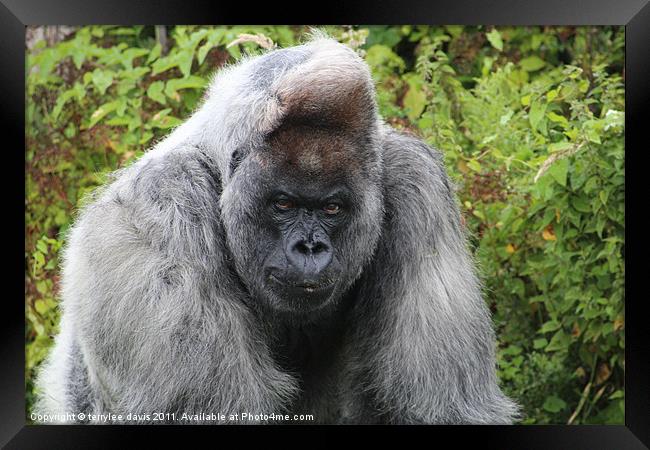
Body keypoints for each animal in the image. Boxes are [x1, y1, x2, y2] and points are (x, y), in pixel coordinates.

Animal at [35, 36, 520, 426]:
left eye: (332, 208)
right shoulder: (163, 205)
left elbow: (445, 408)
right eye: (283, 205)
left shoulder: (416, 182)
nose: (309, 247)